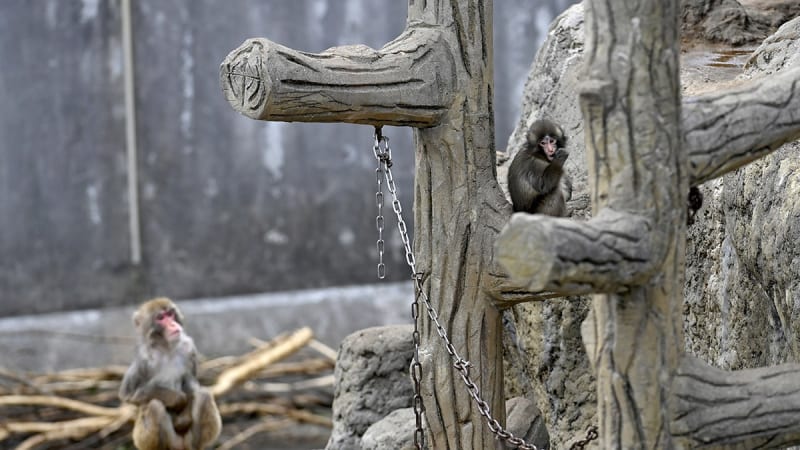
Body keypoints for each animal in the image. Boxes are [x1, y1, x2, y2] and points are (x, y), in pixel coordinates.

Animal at [119, 297, 221, 450]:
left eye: (170, 314)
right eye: (161, 318)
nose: (173, 324)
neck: (167, 349)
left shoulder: (189, 348)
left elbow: (190, 381)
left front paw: (184, 417)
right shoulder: (143, 360)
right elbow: (130, 395)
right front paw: (177, 399)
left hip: (188, 439)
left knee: (204, 395)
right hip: (146, 439)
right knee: (155, 406)